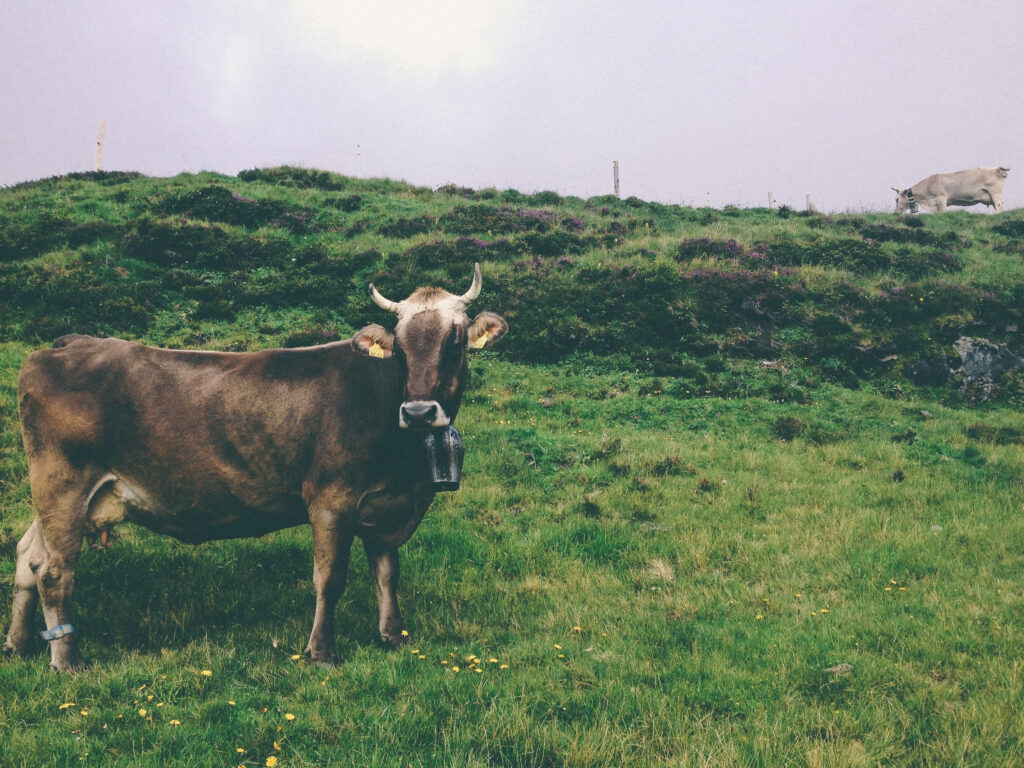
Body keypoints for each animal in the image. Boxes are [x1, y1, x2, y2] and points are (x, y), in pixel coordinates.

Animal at [3, 264, 507, 671]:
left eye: (455, 341)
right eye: (399, 348)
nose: (419, 411)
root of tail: (70, 342)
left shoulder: (386, 503)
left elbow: (386, 572)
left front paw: (393, 636)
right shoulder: (331, 500)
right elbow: (330, 578)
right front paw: (322, 652)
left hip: (64, 496)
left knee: (28, 557)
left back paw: (19, 645)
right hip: (63, 484)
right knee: (54, 572)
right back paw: (67, 660)